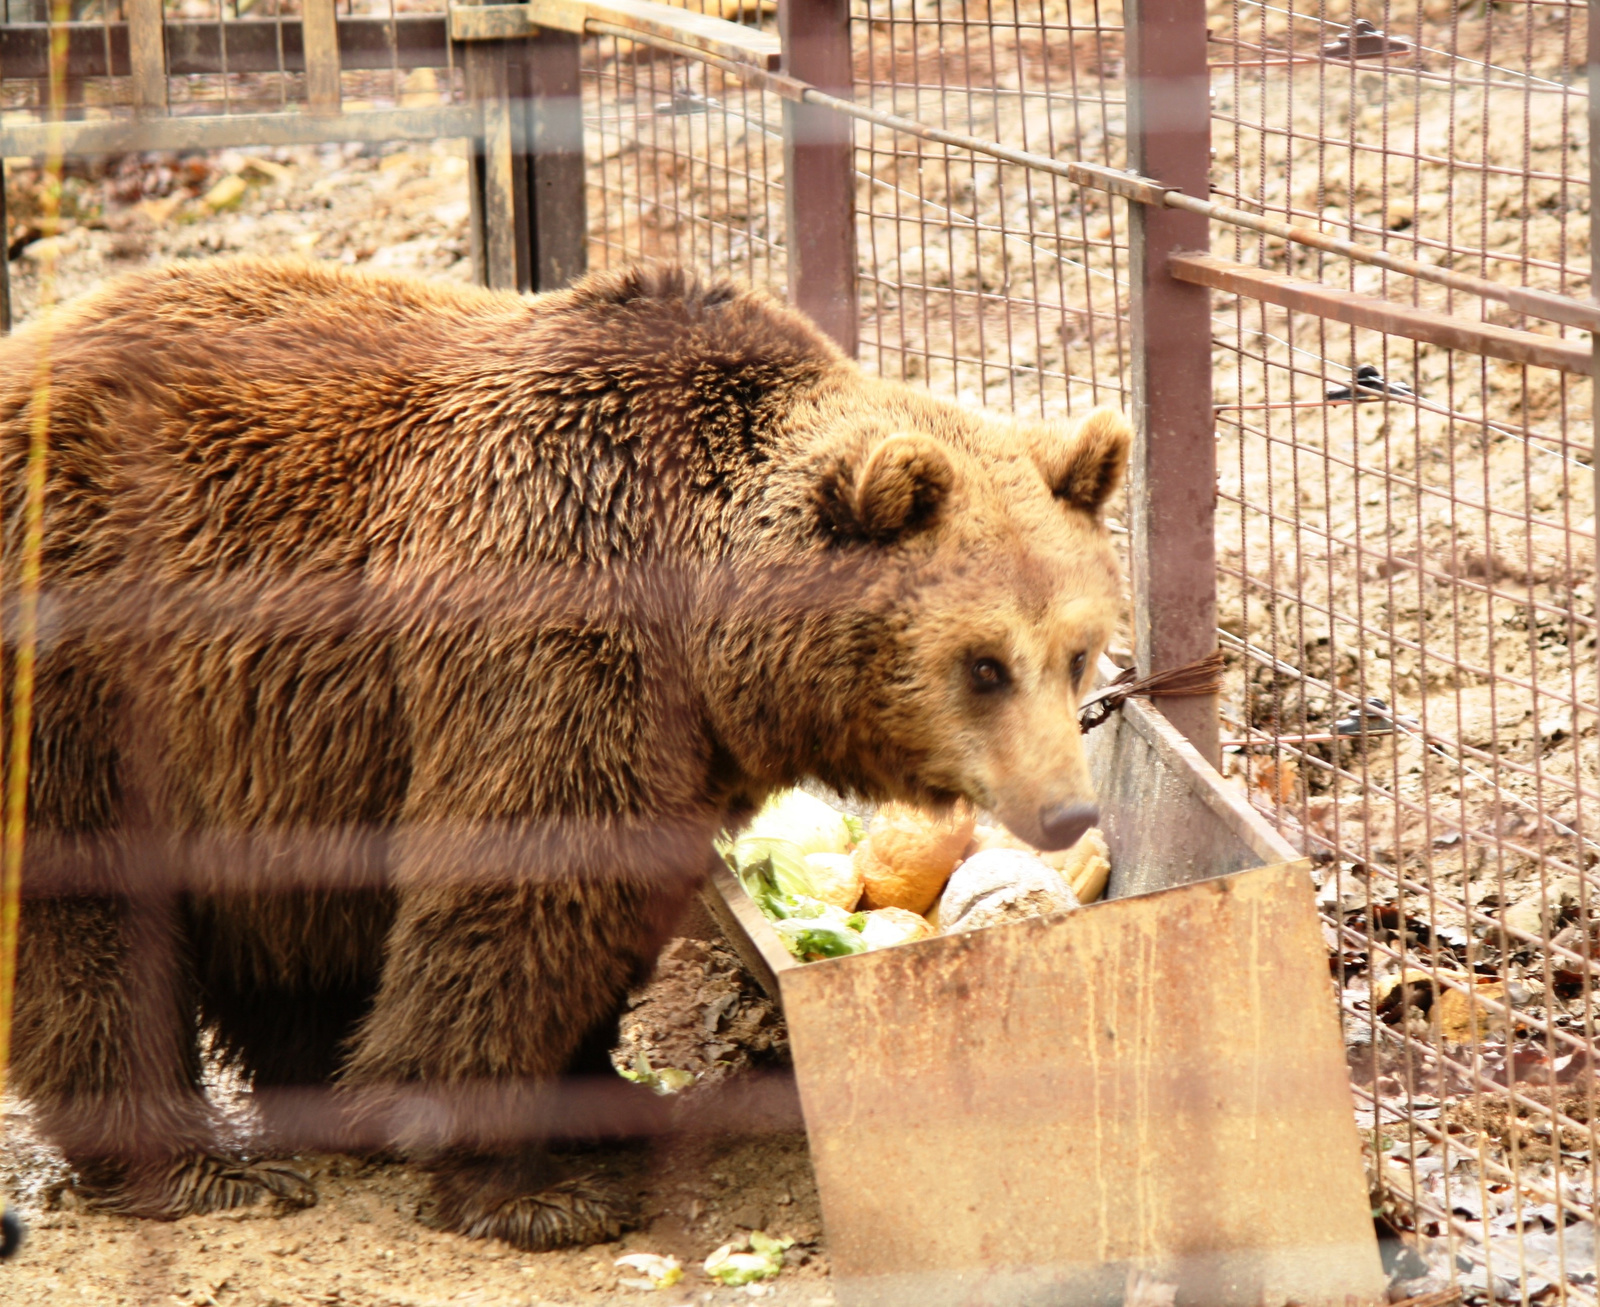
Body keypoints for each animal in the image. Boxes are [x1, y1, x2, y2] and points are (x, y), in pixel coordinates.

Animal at [0, 257, 1126, 1241]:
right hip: (86, 669)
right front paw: (528, 1183)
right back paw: (200, 1167)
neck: (705, 611)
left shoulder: (667, 739)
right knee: (87, 915)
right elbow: (524, 891)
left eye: (1077, 651)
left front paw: (603, 1096)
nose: (1067, 808)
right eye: (983, 664)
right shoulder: (557, 624)